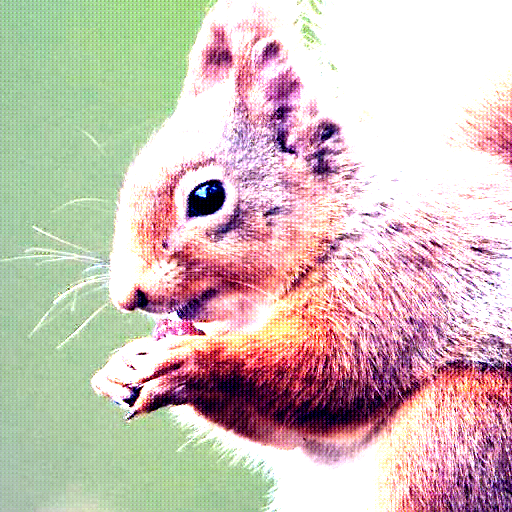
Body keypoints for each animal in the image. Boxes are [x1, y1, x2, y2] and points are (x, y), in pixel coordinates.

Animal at [91, 0, 512, 510]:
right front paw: (117, 369)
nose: (127, 296)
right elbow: (285, 429)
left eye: (207, 196)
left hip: (455, 424)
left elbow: (332, 369)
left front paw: (191, 361)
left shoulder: (396, 276)